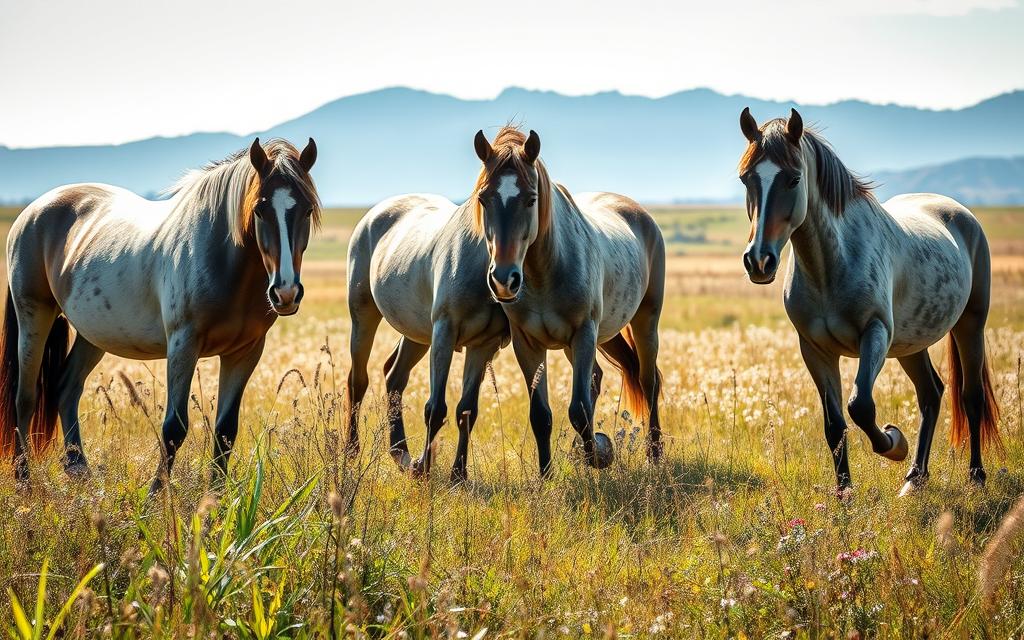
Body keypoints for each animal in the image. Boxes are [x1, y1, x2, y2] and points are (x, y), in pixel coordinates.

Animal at [0, 137, 319, 491]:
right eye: (260, 209)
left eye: (307, 209)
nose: (285, 292)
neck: (223, 259)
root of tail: (33, 211)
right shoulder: (183, 345)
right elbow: (174, 428)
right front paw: (156, 496)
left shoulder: (245, 352)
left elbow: (225, 431)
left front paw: (217, 498)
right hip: (34, 316)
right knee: (25, 397)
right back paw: (24, 480)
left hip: (92, 334)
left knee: (66, 387)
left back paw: (78, 469)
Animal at [471, 125, 663, 475]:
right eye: (483, 198)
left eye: (531, 199)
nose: (504, 280)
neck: (545, 272)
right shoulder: (528, 344)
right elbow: (541, 414)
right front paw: (546, 474)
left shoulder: (583, 334)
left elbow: (579, 409)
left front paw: (596, 457)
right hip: (603, 336)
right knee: (598, 377)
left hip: (644, 321)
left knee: (648, 381)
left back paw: (654, 457)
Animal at [733, 107, 1003, 493]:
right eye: (745, 179)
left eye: (793, 179)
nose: (758, 261)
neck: (832, 265)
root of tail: (960, 213)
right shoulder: (815, 349)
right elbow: (834, 424)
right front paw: (844, 492)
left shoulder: (874, 334)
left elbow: (860, 405)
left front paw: (893, 443)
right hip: (911, 343)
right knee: (931, 393)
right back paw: (915, 479)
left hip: (970, 325)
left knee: (971, 396)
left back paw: (976, 476)